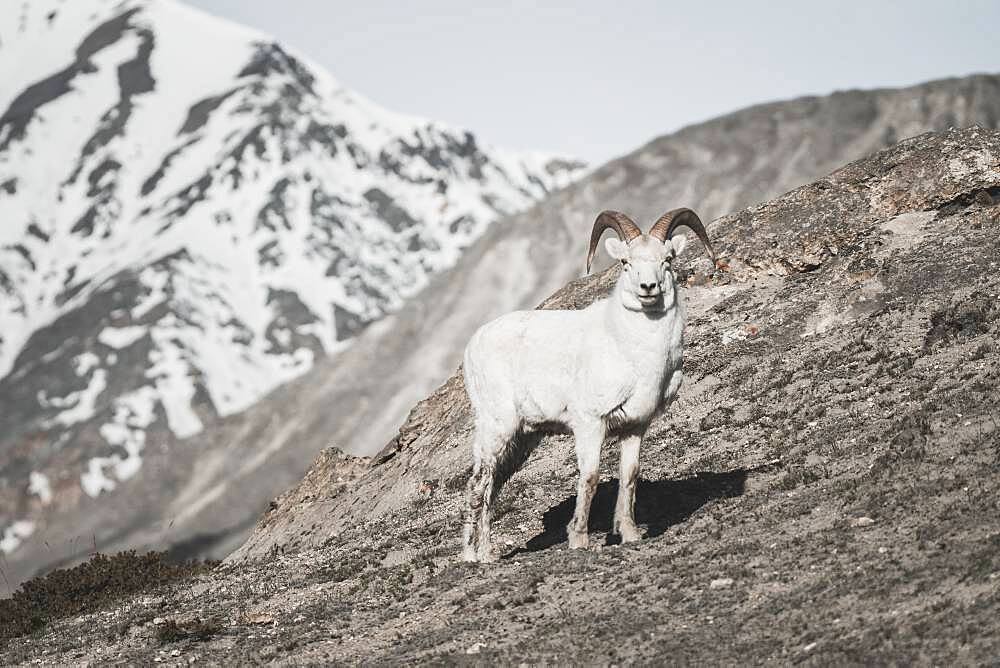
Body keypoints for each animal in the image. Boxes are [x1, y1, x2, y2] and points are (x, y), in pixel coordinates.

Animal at [464, 210, 716, 564]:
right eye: (625, 262)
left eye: (667, 259)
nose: (648, 287)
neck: (634, 353)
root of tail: (473, 345)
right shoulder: (590, 424)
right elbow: (590, 477)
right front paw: (579, 540)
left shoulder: (634, 427)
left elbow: (630, 476)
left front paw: (630, 534)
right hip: (497, 426)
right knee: (479, 483)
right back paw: (479, 556)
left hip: (522, 437)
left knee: (493, 483)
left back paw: (480, 552)